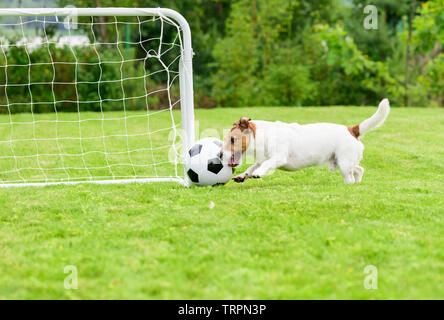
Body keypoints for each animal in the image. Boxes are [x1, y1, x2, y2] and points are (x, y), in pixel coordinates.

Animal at [222, 100, 388, 185]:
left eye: (233, 139)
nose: (220, 155)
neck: (263, 135)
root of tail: (352, 129)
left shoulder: (279, 157)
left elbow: (266, 164)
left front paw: (258, 173)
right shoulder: (262, 158)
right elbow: (252, 166)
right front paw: (243, 175)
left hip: (344, 162)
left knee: (351, 176)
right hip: (344, 162)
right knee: (359, 170)